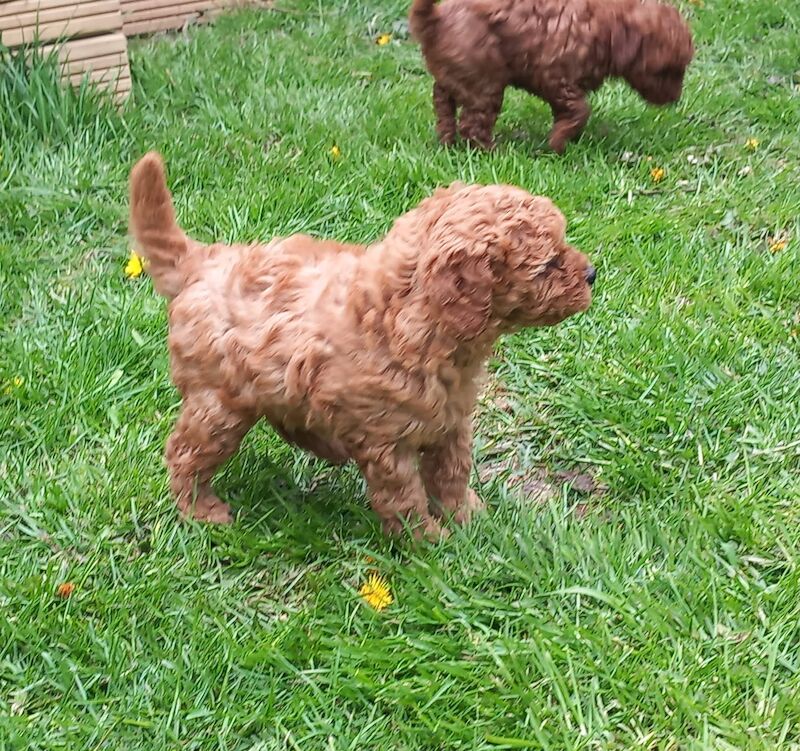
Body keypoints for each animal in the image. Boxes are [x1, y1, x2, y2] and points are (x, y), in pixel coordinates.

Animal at [130, 154, 592, 540]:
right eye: (548, 265)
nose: (591, 273)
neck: (410, 319)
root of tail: (203, 260)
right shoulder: (388, 441)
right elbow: (405, 496)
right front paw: (431, 542)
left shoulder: (451, 421)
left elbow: (452, 473)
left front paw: (468, 518)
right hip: (218, 403)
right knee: (186, 452)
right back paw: (200, 510)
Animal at [410, 0, 692, 153]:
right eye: (669, 70)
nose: (676, 98)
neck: (608, 27)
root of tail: (435, 20)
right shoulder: (556, 78)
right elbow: (580, 110)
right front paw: (557, 144)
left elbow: (568, 114)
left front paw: (567, 137)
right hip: (484, 84)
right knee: (473, 125)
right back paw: (494, 151)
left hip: (454, 79)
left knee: (443, 107)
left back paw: (447, 142)